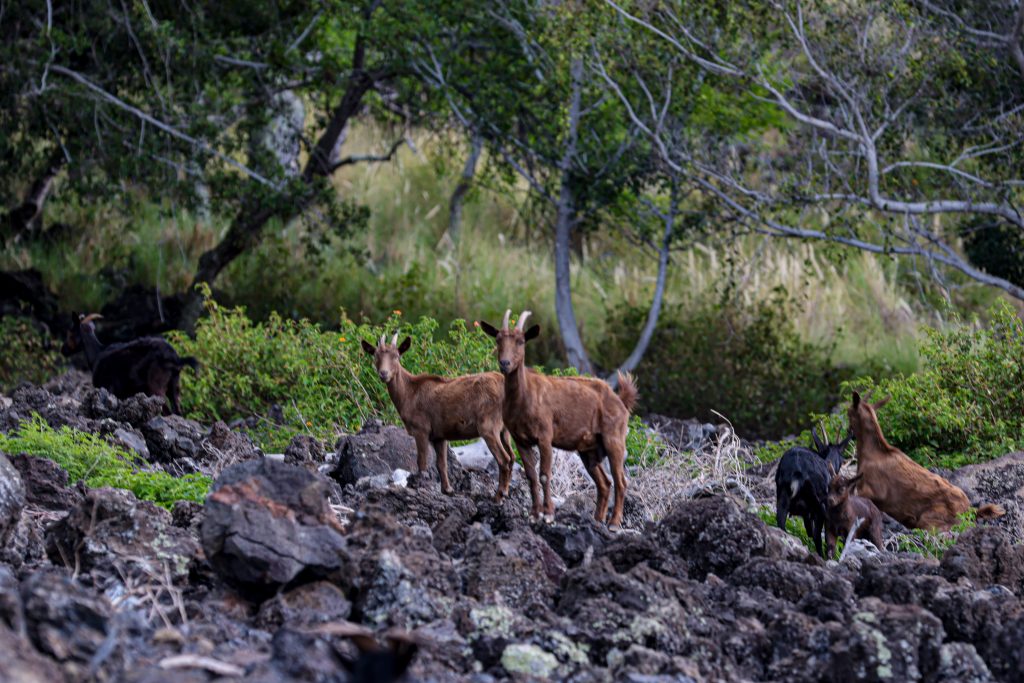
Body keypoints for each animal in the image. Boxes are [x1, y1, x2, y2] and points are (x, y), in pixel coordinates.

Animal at [61, 313, 197, 413]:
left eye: (70, 332)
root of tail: (176, 358)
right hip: (174, 386)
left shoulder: (108, 388)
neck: (97, 354)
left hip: (156, 387)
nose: (63, 350)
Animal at [362, 333, 520, 499]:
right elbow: (441, 464)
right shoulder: (439, 435)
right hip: (504, 430)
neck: (408, 394)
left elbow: (422, 461)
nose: (383, 373)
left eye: (396, 356)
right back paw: (506, 491)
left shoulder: (421, 428)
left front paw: (420, 485)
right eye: (376, 356)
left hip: (488, 425)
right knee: (512, 457)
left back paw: (499, 496)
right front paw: (448, 490)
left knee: (504, 459)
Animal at [475, 309, 634, 528]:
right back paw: (596, 519)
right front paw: (534, 514)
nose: (505, 364)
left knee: (621, 481)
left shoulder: (545, 436)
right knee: (604, 482)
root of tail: (621, 401)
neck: (524, 397)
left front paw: (548, 514)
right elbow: (531, 475)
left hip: (614, 439)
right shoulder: (520, 439)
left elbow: (544, 475)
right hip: (589, 450)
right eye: (498, 339)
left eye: (521, 341)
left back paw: (614, 523)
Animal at [774, 428, 856, 561]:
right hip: (819, 505)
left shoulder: (806, 513)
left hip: (782, 496)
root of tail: (797, 470)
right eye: (842, 458)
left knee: (781, 524)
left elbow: (809, 532)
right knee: (818, 536)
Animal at [847, 389, 999, 532]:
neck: (871, 452)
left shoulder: (868, 491)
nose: (848, 431)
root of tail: (970, 511)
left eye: (848, 412)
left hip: (930, 521)